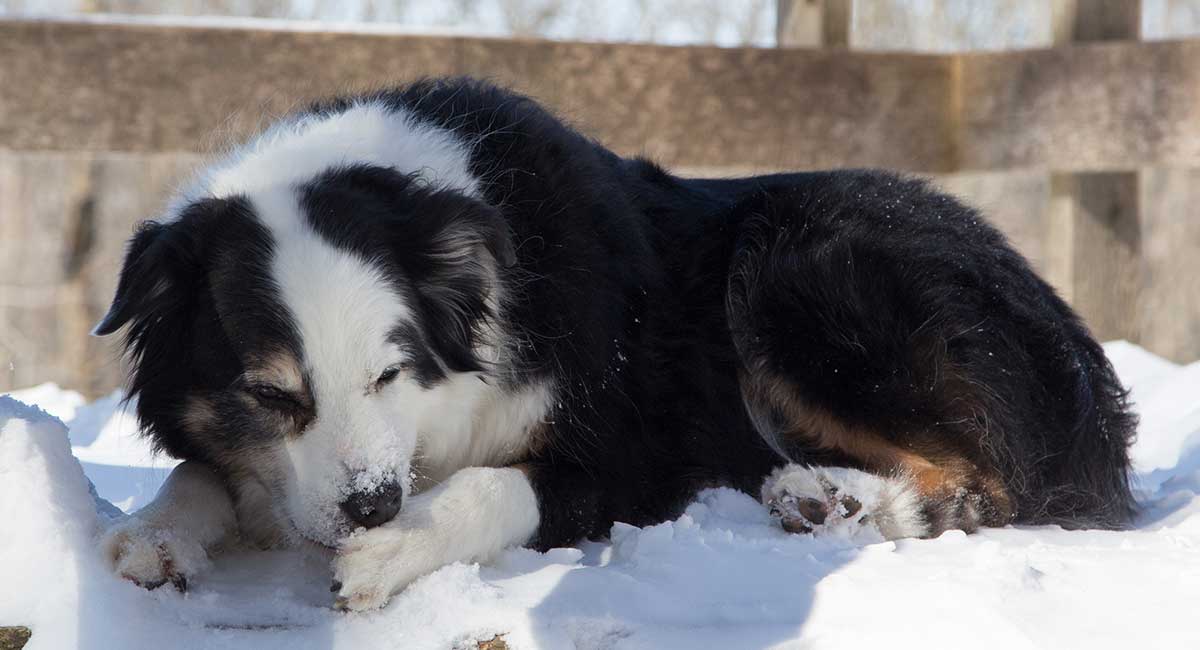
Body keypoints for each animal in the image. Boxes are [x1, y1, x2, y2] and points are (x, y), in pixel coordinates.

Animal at [93, 76, 1132, 611]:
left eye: (391, 373)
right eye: (273, 397)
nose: (374, 506)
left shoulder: (638, 451)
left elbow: (495, 485)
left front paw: (395, 548)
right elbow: (201, 473)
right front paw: (155, 535)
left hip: (795, 260)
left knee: (996, 481)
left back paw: (840, 499)